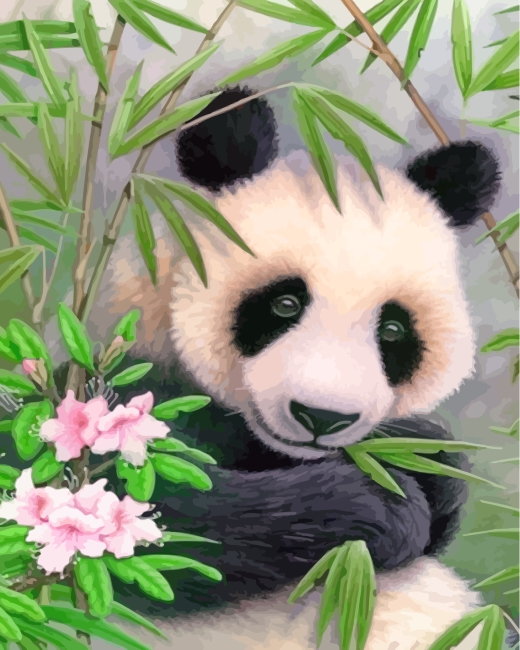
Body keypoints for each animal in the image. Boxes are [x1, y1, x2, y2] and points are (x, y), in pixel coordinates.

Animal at [85, 86, 502, 650]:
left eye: (393, 330)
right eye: (285, 302)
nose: (323, 417)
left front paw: (419, 463)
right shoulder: (121, 383)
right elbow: (144, 514)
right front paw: (380, 506)